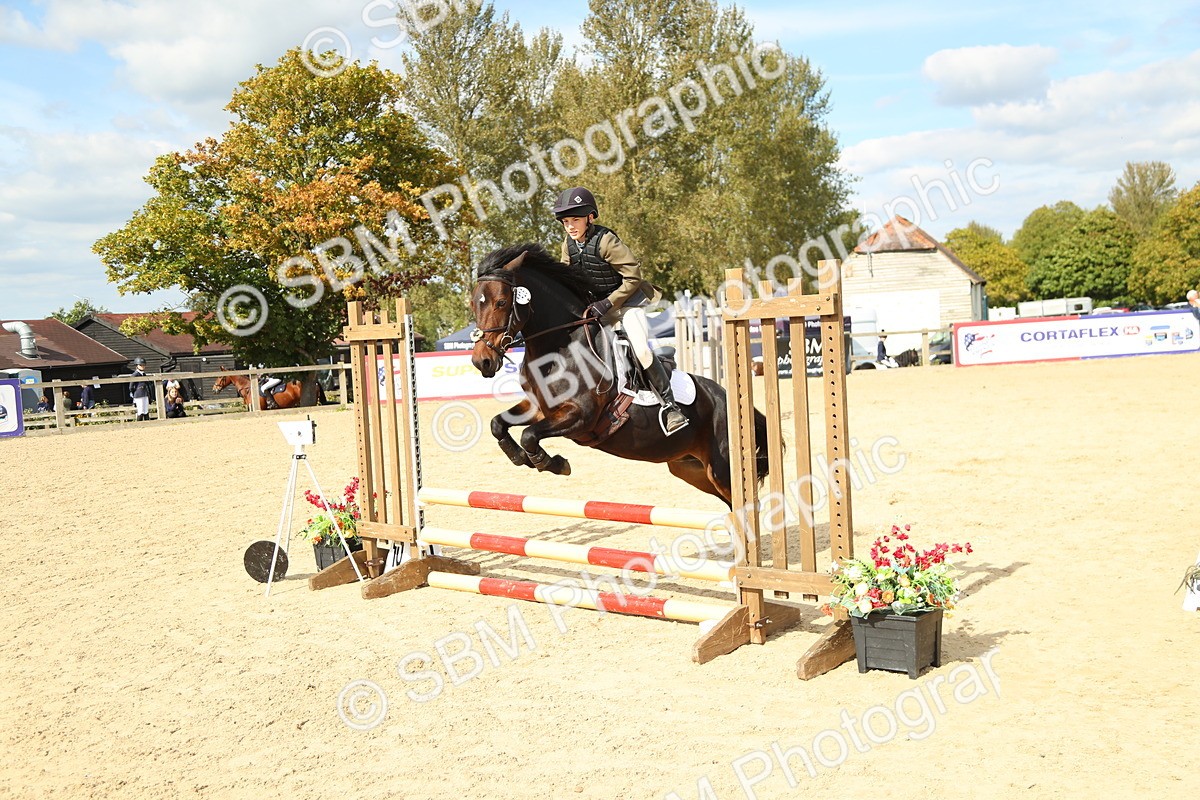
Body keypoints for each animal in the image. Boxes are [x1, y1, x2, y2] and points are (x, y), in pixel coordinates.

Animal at [469, 243, 768, 507]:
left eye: (501, 302)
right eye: (474, 304)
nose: (482, 361)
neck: (559, 348)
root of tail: (726, 396)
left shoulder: (582, 416)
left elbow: (530, 435)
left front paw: (554, 464)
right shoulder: (540, 408)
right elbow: (499, 424)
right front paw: (520, 458)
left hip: (722, 468)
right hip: (690, 469)